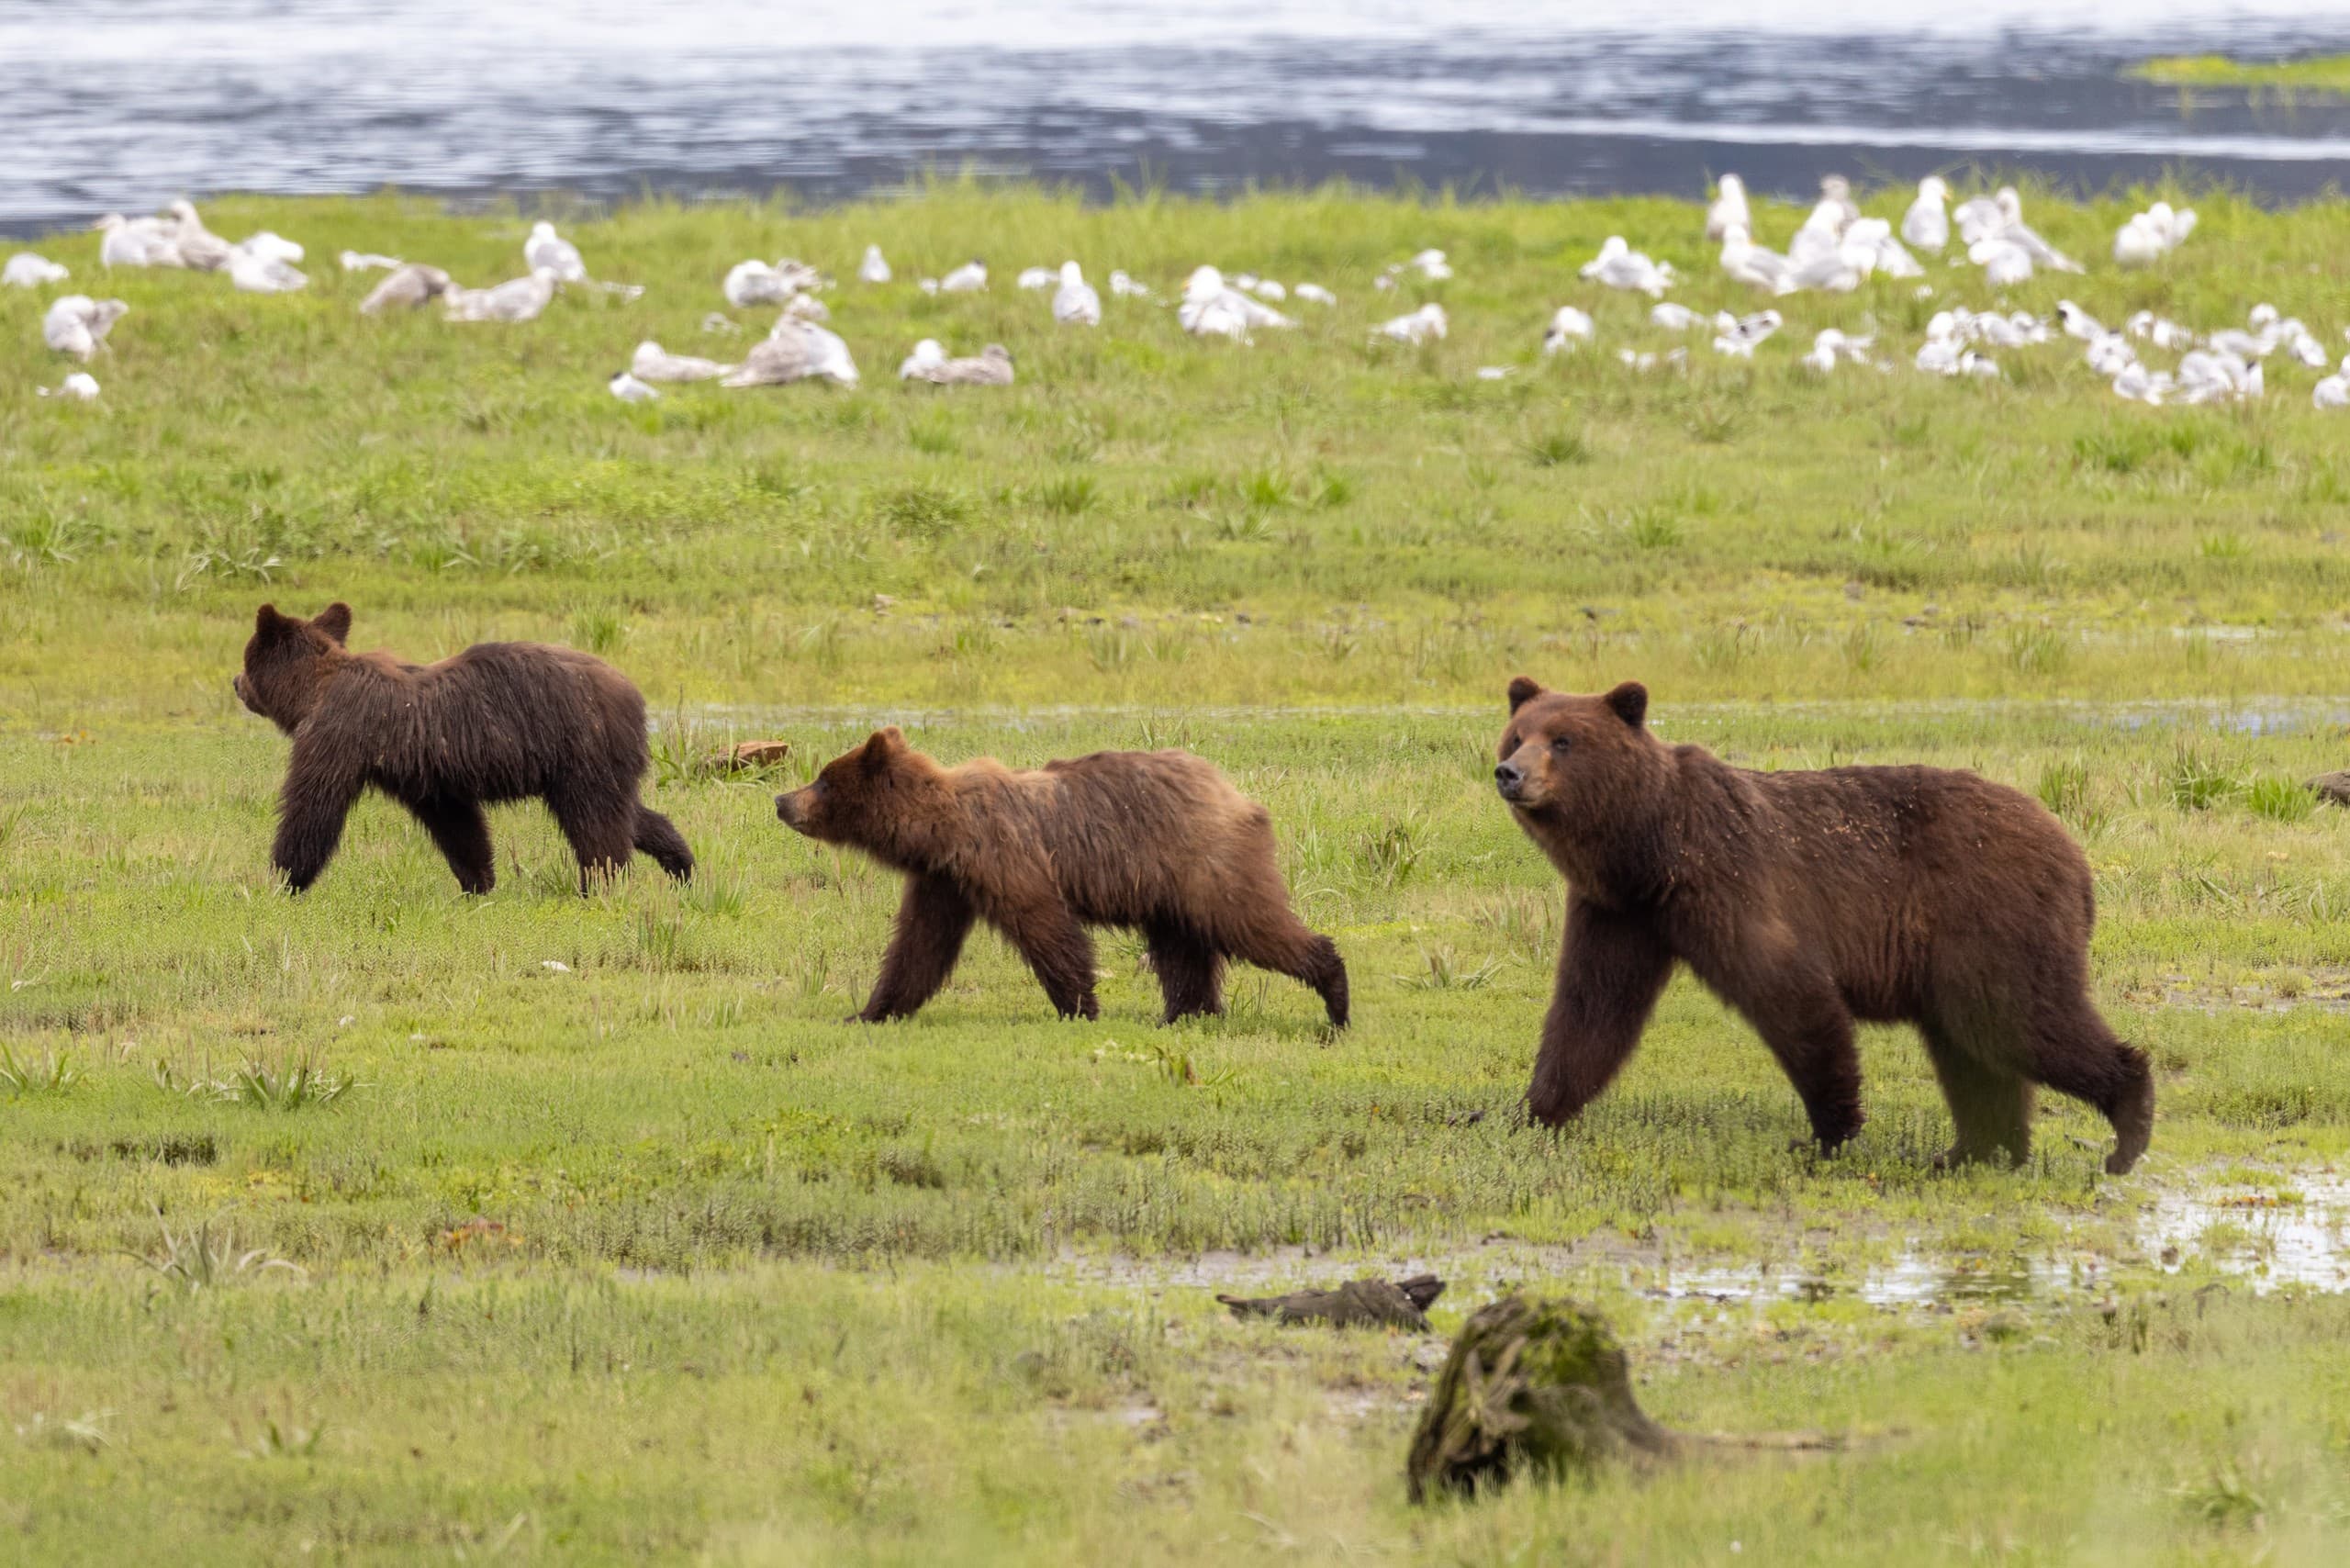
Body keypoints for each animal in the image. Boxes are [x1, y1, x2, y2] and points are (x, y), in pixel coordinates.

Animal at [233, 601, 694, 895]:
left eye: (246, 659)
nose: (236, 683)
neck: (313, 692)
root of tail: (632, 694)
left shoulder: (339, 735)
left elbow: (314, 805)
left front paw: (282, 879)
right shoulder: (427, 777)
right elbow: (458, 826)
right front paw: (478, 882)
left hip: (579, 751)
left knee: (596, 824)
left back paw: (599, 884)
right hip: (599, 763)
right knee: (627, 813)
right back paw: (681, 864)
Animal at [774, 728, 1348, 1027]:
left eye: (823, 780)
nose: (781, 800)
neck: (940, 831)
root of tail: (1235, 792)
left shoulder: (1004, 859)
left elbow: (1047, 928)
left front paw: (1079, 1006)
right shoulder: (944, 881)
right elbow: (918, 947)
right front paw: (870, 1010)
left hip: (1205, 863)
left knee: (1250, 922)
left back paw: (1335, 998)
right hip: (1166, 887)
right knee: (1182, 949)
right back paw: (1185, 1014)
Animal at [1494, 677, 2153, 1174]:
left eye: (1564, 740)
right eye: (1518, 733)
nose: (1509, 772)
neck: (1649, 848)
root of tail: (2073, 851)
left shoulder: (1729, 882)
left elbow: (1792, 993)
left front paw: (1825, 1132)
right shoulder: (1619, 913)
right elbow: (1591, 1012)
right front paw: (1527, 1113)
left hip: (1991, 917)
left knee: (2022, 1022)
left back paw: (2126, 1128)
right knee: (1971, 1048)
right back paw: (1971, 1150)